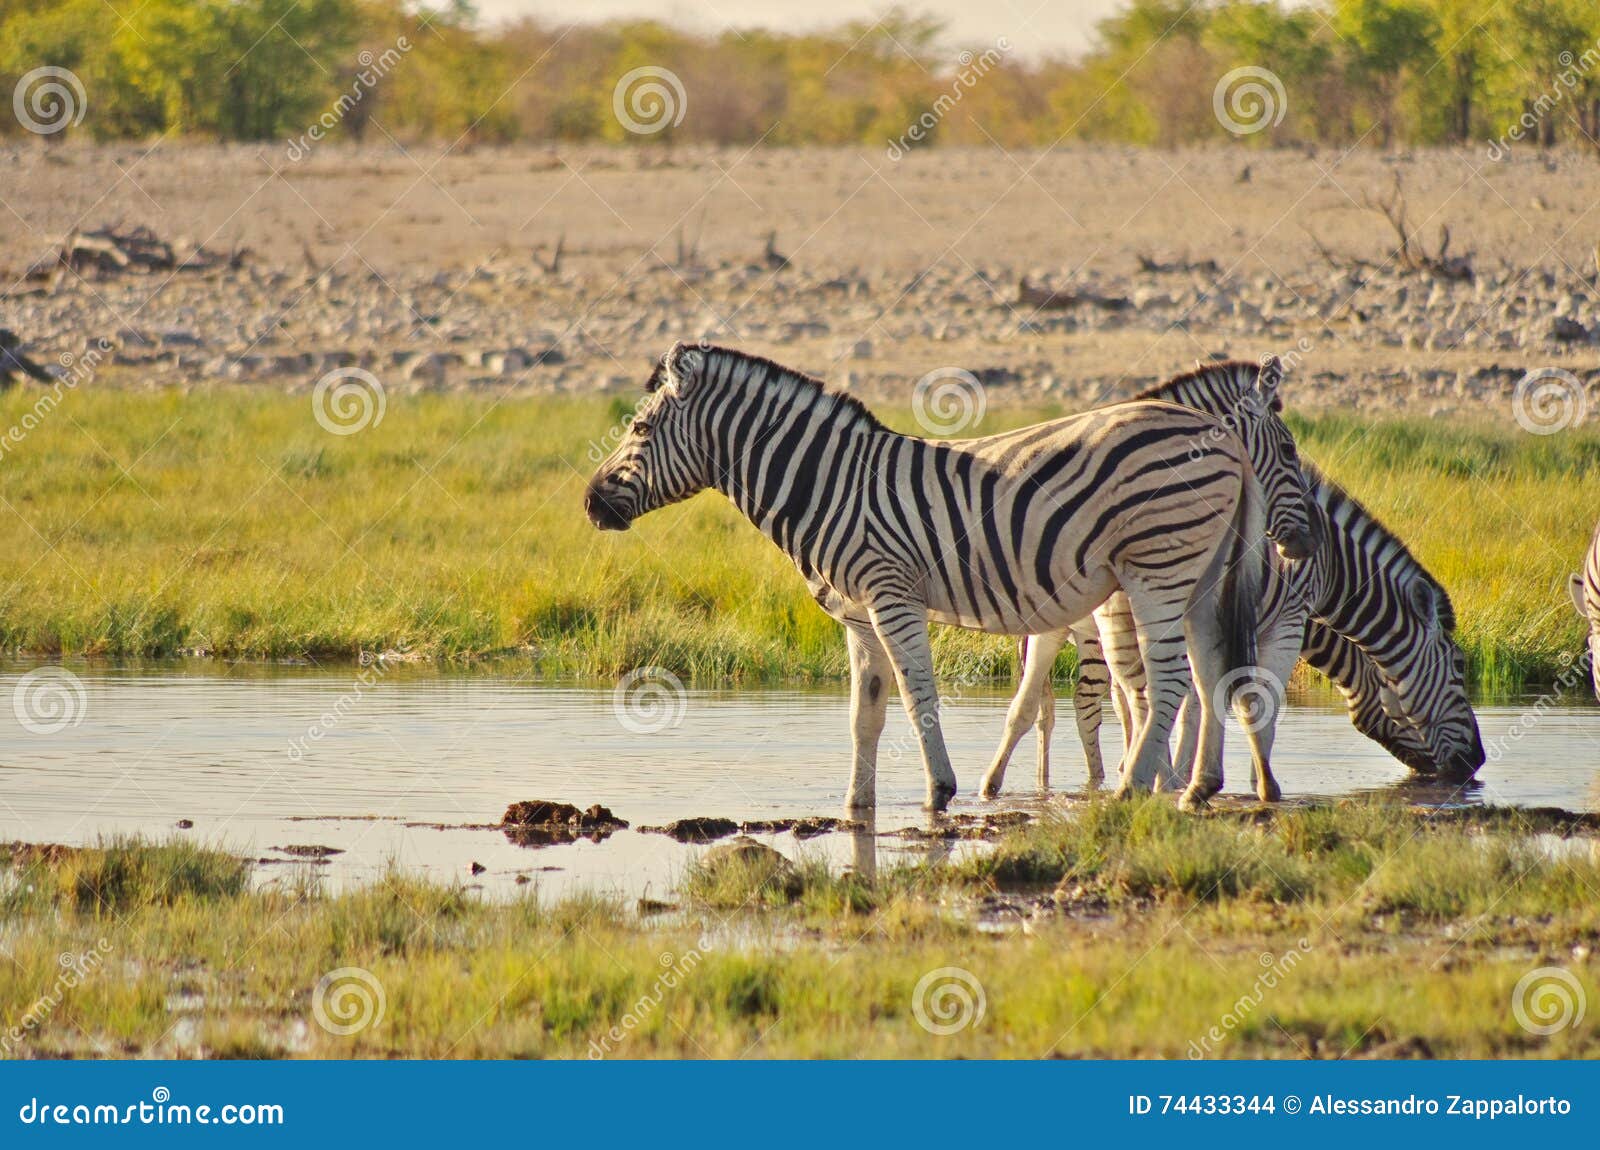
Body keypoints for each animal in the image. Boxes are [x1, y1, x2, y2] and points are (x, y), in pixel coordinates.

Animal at [585, 342, 1316, 811]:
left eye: (640, 427)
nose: (590, 503)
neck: (830, 484)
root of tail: (1221, 439)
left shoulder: (891, 594)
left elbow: (917, 697)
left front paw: (940, 791)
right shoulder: (857, 614)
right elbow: (865, 712)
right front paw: (857, 803)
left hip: (1155, 567)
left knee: (1166, 684)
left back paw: (1135, 789)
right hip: (1200, 574)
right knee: (1210, 670)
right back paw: (1197, 788)